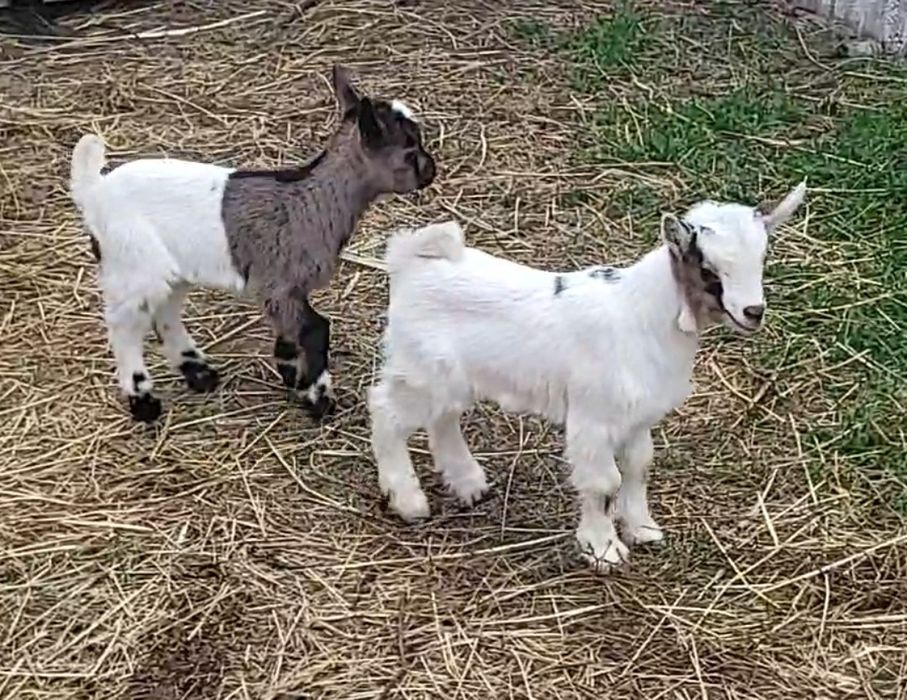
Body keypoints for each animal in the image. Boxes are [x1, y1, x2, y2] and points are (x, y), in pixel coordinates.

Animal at [70, 65, 436, 423]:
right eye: (409, 146)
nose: (431, 170)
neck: (314, 201)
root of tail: (94, 189)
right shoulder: (280, 281)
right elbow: (315, 330)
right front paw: (318, 398)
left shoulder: (282, 291)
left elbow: (290, 333)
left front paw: (291, 374)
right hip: (131, 260)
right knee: (124, 326)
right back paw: (143, 401)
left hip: (166, 269)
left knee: (165, 314)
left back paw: (198, 372)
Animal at [368, 183, 806, 573]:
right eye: (708, 268)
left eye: (762, 258)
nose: (753, 311)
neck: (641, 315)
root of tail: (411, 261)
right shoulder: (594, 418)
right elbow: (603, 483)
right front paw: (603, 549)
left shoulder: (637, 418)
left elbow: (639, 466)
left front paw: (641, 528)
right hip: (421, 370)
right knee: (385, 410)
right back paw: (407, 499)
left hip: (450, 376)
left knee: (442, 416)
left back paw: (468, 482)